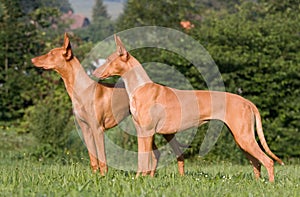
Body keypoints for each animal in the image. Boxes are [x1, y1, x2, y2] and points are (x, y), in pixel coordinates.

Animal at [30, 33, 185, 175]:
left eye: (51, 53)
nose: (32, 59)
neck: (82, 89)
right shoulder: (85, 129)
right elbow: (93, 158)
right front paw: (95, 177)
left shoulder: (98, 129)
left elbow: (102, 158)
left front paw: (103, 176)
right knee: (155, 153)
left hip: (163, 129)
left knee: (177, 152)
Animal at [93, 35, 284, 182]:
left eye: (108, 60)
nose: (94, 73)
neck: (140, 86)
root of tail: (247, 101)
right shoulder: (142, 131)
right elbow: (145, 158)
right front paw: (143, 178)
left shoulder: (146, 132)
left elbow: (143, 158)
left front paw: (140, 178)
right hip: (242, 138)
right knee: (257, 163)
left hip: (244, 138)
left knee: (268, 161)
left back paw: (270, 185)